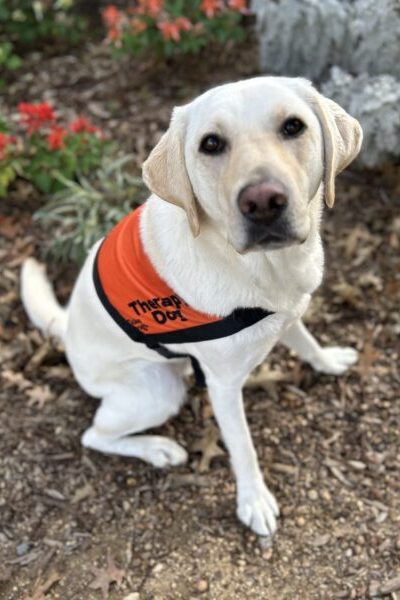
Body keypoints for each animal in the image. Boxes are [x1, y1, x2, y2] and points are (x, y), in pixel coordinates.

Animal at [21, 77, 362, 536]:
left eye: (293, 126)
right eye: (211, 144)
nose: (262, 201)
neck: (259, 268)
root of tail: (69, 325)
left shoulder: (288, 310)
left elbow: (306, 341)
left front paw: (327, 360)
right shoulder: (223, 386)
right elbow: (243, 447)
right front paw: (253, 500)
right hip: (156, 391)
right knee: (93, 435)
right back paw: (158, 449)